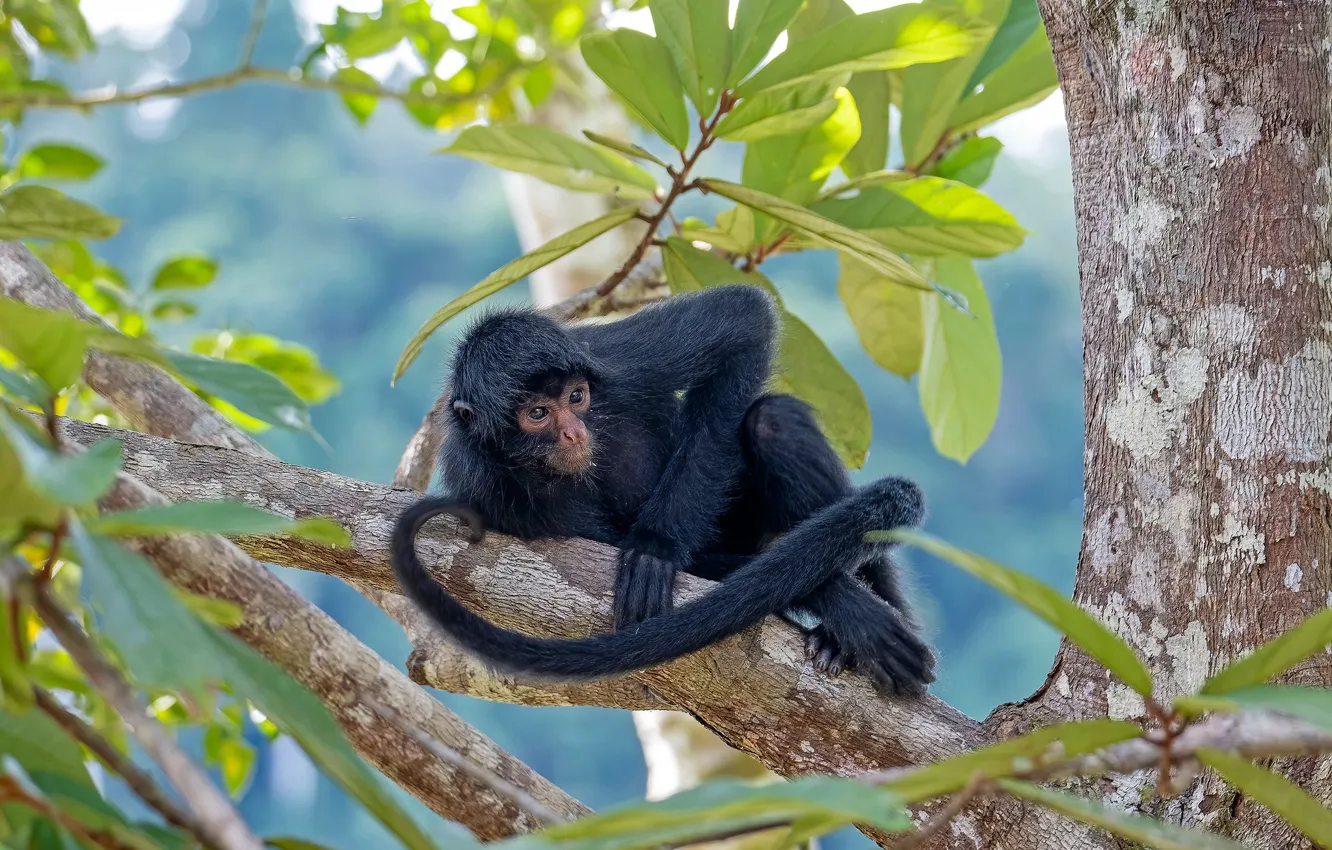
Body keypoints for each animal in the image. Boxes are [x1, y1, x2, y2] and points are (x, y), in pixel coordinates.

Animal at [391, 285, 936, 694]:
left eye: (576, 396)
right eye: (538, 414)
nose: (574, 433)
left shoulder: (607, 359)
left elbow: (742, 317)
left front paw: (656, 547)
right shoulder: (488, 488)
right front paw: (844, 605)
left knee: (772, 420)